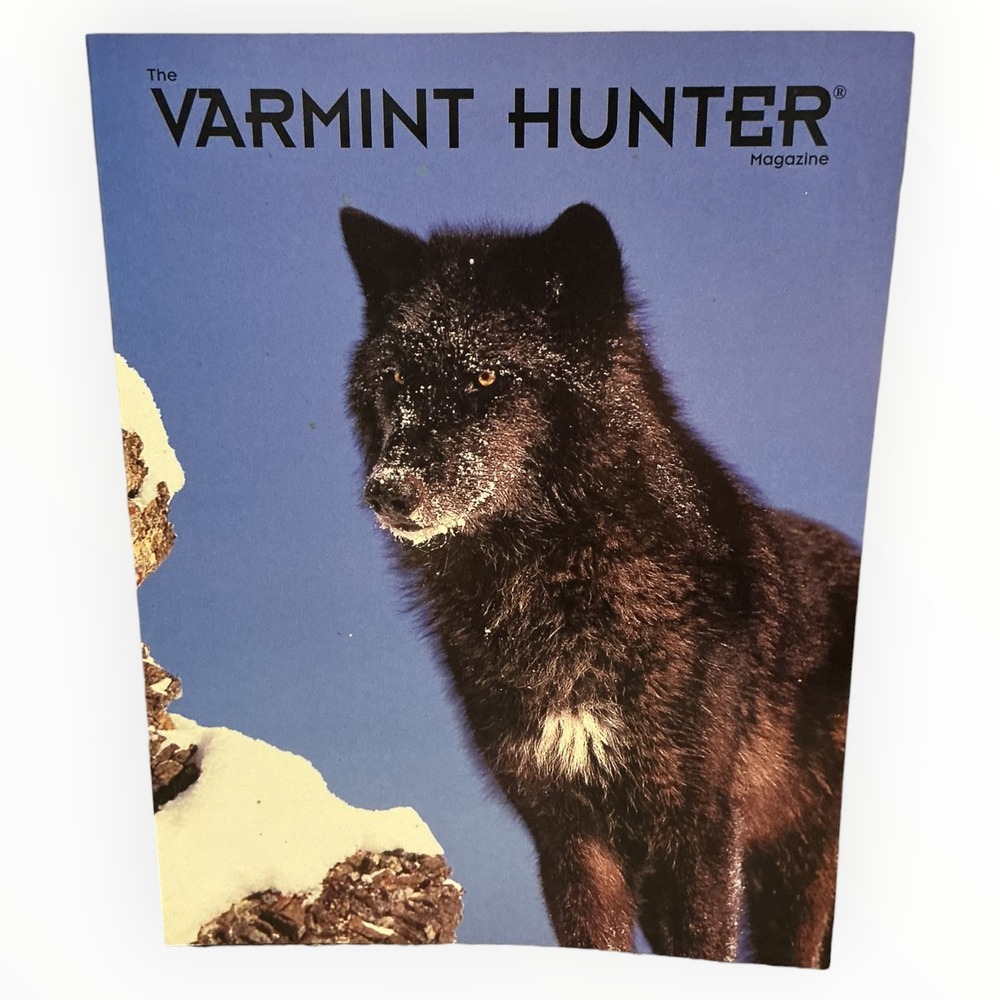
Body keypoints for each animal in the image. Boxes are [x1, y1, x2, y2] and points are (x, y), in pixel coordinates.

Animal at [341, 203, 858, 967]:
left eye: (485, 379)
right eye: (399, 379)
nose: (387, 490)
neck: (556, 582)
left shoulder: (697, 829)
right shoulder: (567, 834)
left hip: (800, 876)